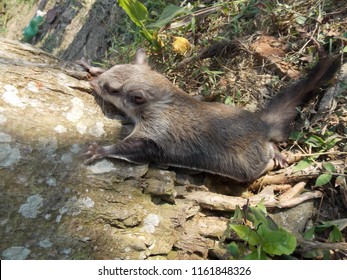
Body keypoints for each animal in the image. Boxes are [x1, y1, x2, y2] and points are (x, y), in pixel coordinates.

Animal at [79, 49, 342, 183]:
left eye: (112, 90)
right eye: (112, 71)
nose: (96, 84)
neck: (164, 98)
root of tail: (261, 125)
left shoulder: (156, 131)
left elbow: (134, 148)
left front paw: (99, 150)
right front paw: (92, 69)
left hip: (252, 161)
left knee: (268, 149)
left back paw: (276, 154)